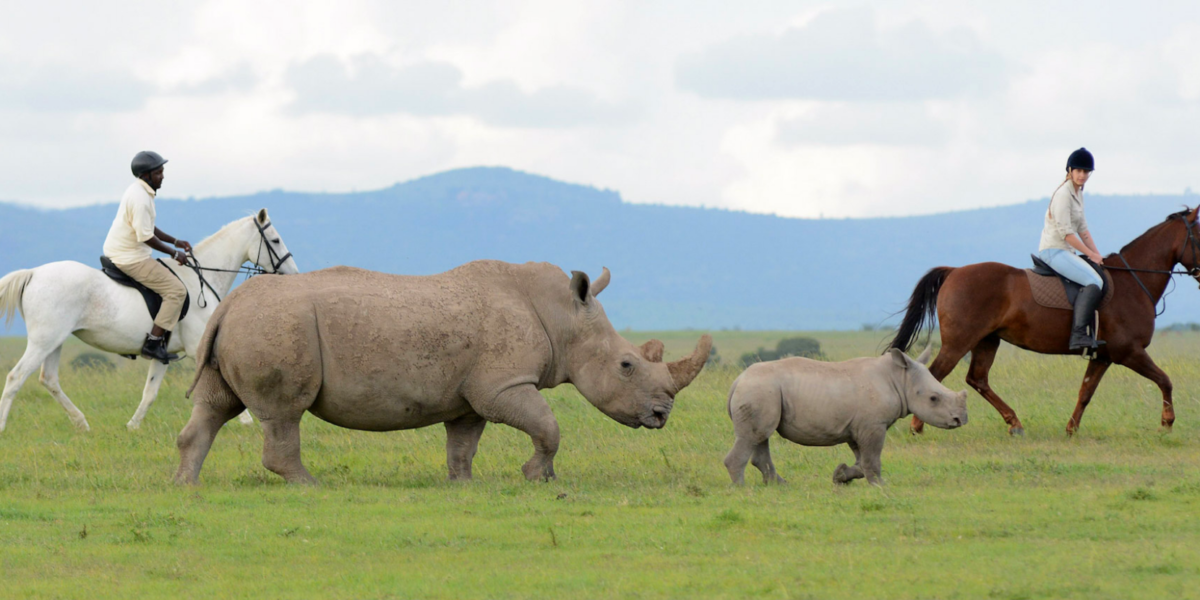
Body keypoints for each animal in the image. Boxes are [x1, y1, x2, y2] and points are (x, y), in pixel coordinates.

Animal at [175, 261, 712, 485]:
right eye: (627, 365)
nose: (661, 415)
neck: (564, 317)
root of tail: (228, 304)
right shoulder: (503, 384)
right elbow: (548, 426)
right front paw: (537, 477)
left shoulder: (472, 393)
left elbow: (463, 443)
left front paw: (463, 484)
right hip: (277, 325)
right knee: (284, 413)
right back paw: (308, 485)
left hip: (242, 325)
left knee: (215, 405)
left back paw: (186, 485)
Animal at [724, 347, 967, 486]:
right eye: (934, 398)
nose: (961, 420)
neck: (900, 378)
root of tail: (737, 381)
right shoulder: (873, 425)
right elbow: (872, 458)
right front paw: (880, 485)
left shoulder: (858, 427)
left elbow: (862, 460)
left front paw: (840, 476)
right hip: (760, 390)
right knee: (753, 436)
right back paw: (741, 488)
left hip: (763, 391)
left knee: (759, 436)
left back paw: (779, 485)